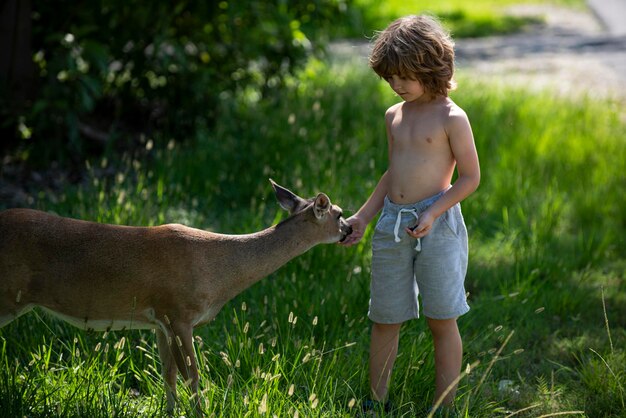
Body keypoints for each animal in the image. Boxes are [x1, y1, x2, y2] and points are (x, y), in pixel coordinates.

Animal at [0, 180, 352, 414]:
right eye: (337, 213)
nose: (349, 230)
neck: (220, 270)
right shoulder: (180, 313)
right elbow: (193, 375)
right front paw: (200, 413)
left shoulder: (159, 320)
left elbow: (168, 375)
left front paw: (170, 413)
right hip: (6, 295)